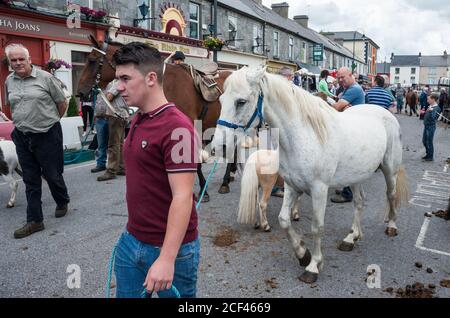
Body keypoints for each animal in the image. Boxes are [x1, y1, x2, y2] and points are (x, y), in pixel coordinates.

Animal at [78, 36, 237, 201]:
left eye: (91, 60)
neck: (166, 86)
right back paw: (230, 176)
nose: (80, 92)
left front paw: (203, 191)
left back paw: (225, 181)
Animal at [213, 67, 410, 284]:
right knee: (359, 202)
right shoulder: (291, 186)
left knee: (391, 195)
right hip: (355, 176)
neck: (304, 136)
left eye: (241, 101)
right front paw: (302, 254)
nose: (219, 147)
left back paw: (391, 226)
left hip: (389, 170)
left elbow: (317, 227)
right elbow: (284, 220)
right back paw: (351, 238)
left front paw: (313, 266)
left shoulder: (319, 190)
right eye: (221, 100)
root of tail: (384, 113)